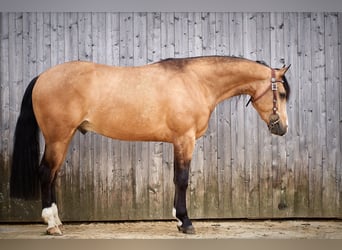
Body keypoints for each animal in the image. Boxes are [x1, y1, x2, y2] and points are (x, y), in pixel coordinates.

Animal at [9, 55, 290, 235]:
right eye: (282, 94)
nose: (282, 128)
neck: (196, 82)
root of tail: (43, 76)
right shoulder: (184, 139)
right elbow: (182, 179)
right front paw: (185, 222)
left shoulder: (179, 141)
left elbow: (177, 178)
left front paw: (179, 220)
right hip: (58, 137)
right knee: (46, 173)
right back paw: (51, 225)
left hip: (62, 139)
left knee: (53, 175)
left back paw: (58, 222)